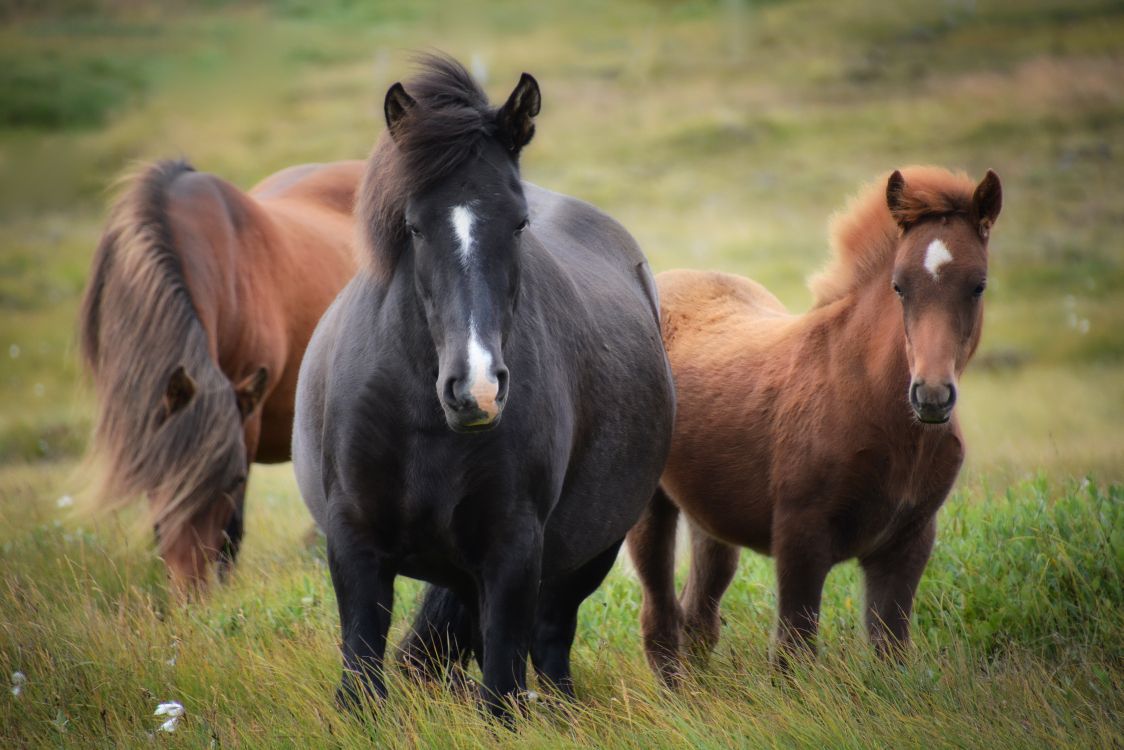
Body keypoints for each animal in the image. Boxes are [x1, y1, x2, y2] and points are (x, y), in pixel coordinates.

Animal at [291, 56, 675, 719]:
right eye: (414, 227)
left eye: (518, 224)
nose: (477, 390)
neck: (422, 419)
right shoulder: (354, 542)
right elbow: (362, 676)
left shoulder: (514, 549)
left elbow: (501, 688)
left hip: (588, 553)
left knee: (550, 641)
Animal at [627, 166, 1002, 685]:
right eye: (899, 286)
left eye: (978, 285)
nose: (931, 396)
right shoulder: (800, 537)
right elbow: (793, 653)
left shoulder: (908, 542)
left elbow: (890, 650)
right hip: (649, 506)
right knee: (659, 617)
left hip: (711, 516)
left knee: (697, 615)